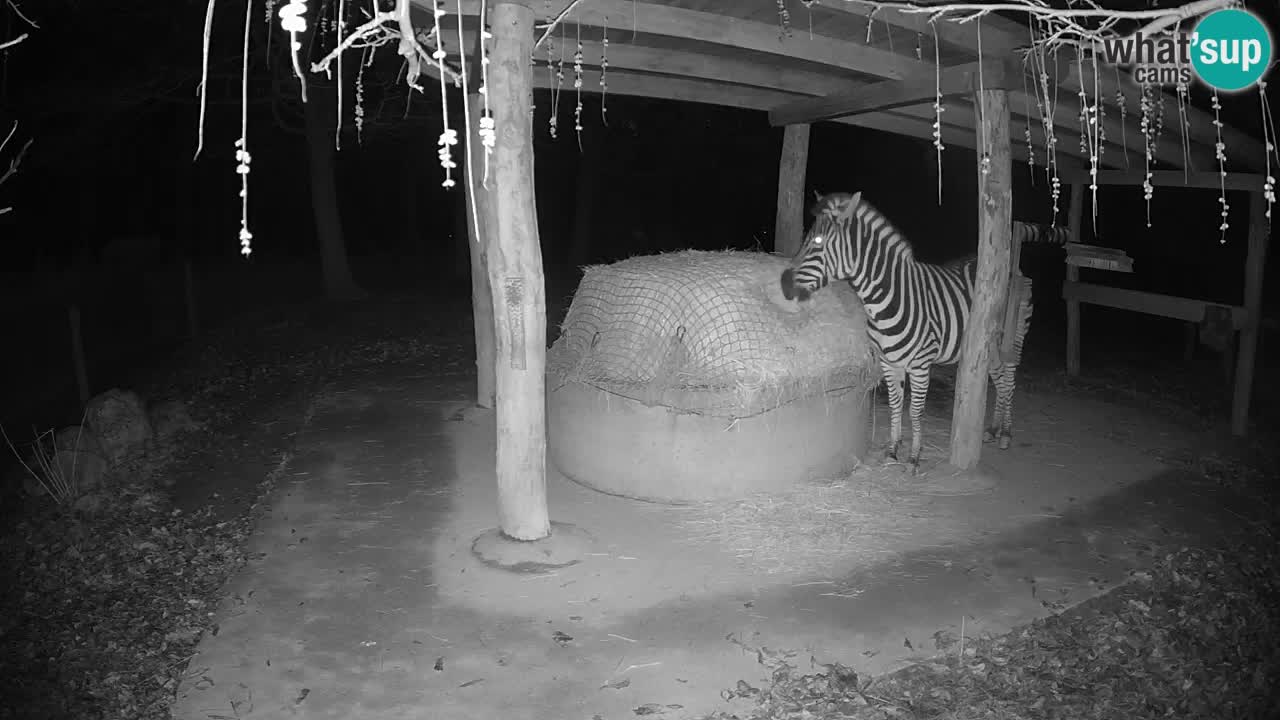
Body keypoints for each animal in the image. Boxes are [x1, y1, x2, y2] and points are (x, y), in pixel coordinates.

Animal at [778, 189, 1070, 471]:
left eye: (817, 241)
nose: (783, 285)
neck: (885, 300)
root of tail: (1011, 267)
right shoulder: (888, 362)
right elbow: (896, 405)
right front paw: (892, 450)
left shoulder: (920, 364)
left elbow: (915, 411)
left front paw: (914, 458)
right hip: (989, 345)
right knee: (998, 379)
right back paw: (992, 429)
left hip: (1013, 338)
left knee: (1009, 381)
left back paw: (1006, 433)